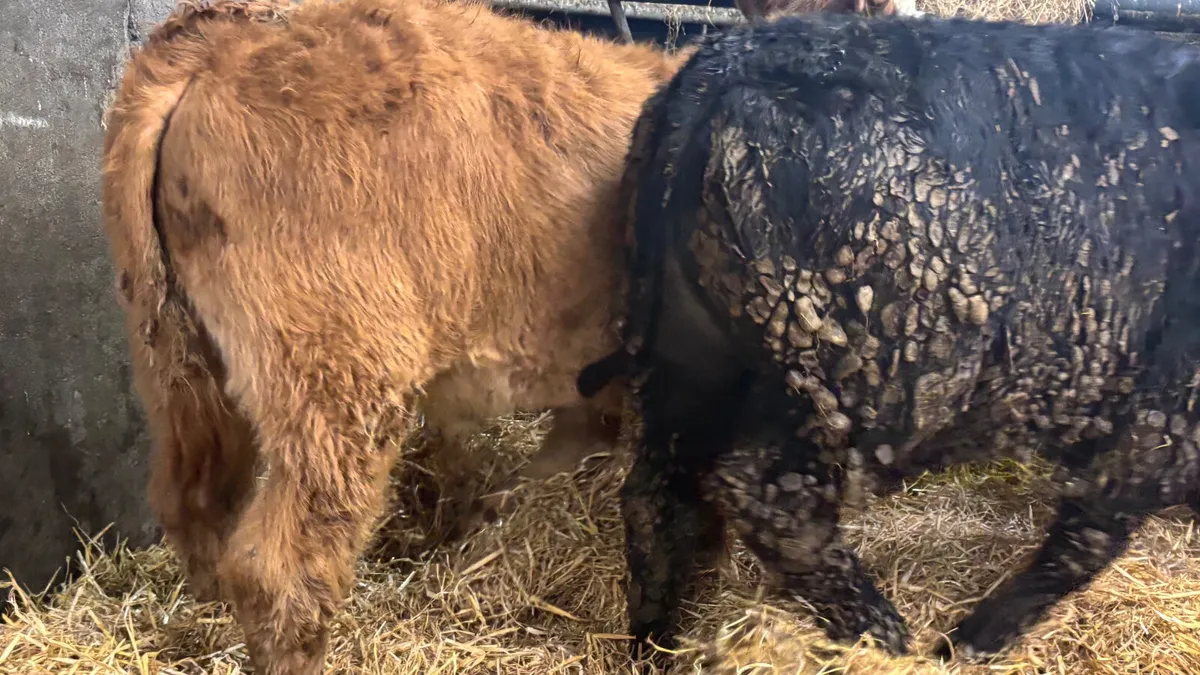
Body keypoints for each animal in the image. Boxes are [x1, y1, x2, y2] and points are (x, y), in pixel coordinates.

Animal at [577, 12, 1200, 665]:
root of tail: (733, 57)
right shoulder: (1164, 415)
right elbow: (1089, 535)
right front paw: (971, 642)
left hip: (688, 357)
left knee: (654, 494)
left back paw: (653, 642)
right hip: (868, 377)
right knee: (769, 501)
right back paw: (882, 636)